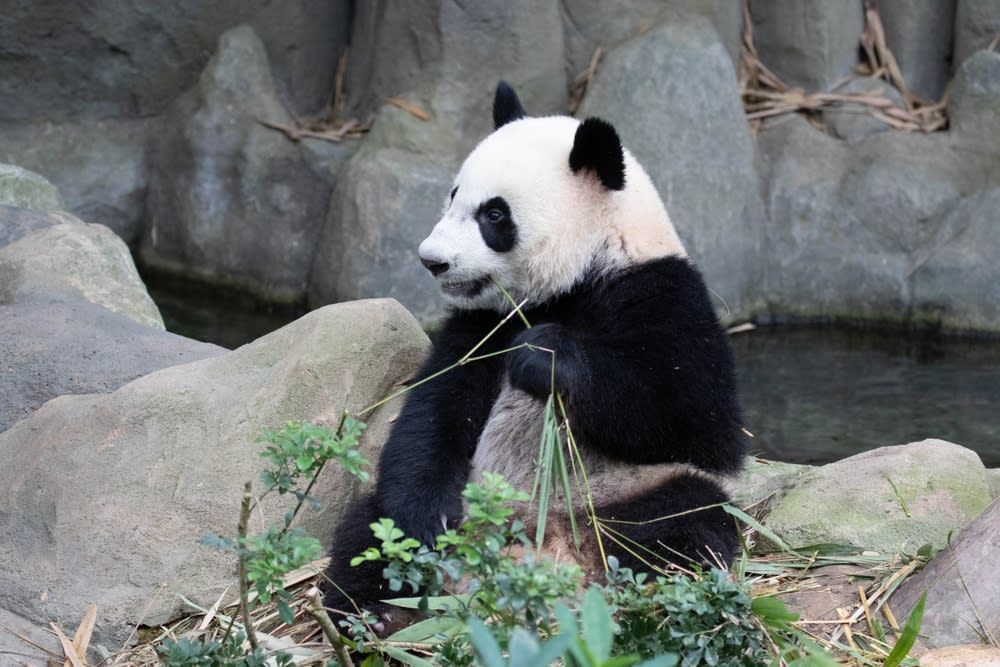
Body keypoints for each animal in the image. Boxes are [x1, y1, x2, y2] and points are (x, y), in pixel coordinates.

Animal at [324, 81, 747, 613]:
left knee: (684, 520)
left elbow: (696, 419)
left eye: (494, 214)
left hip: (633, 490)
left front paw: (544, 355)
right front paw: (428, 519)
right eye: (453, 197)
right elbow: (433, 413)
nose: (432, 261)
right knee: (369, 531)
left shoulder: (663, 296)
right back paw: (378, 609)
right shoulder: (479, 325)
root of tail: (532, 541)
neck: (582, 272)